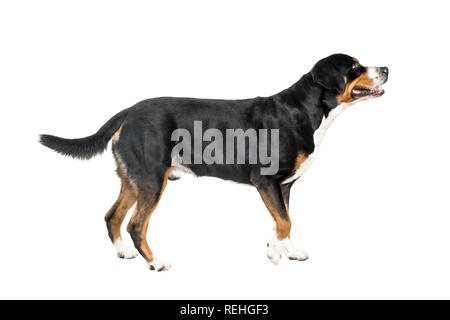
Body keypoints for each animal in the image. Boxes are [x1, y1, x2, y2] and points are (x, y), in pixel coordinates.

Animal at [40, 53, 388, 272]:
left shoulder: (285, 186)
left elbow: (285, 221)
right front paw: (273, 252)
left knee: (112, 216)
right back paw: (155, 262)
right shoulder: (266, 181)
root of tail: (128, 112)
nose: (386, 68)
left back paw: (124, 252)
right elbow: (285, 221)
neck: (305, 110)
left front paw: (287, 250)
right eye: (354, 67)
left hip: (134, 180)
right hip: (152, 180)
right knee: (136, 224)